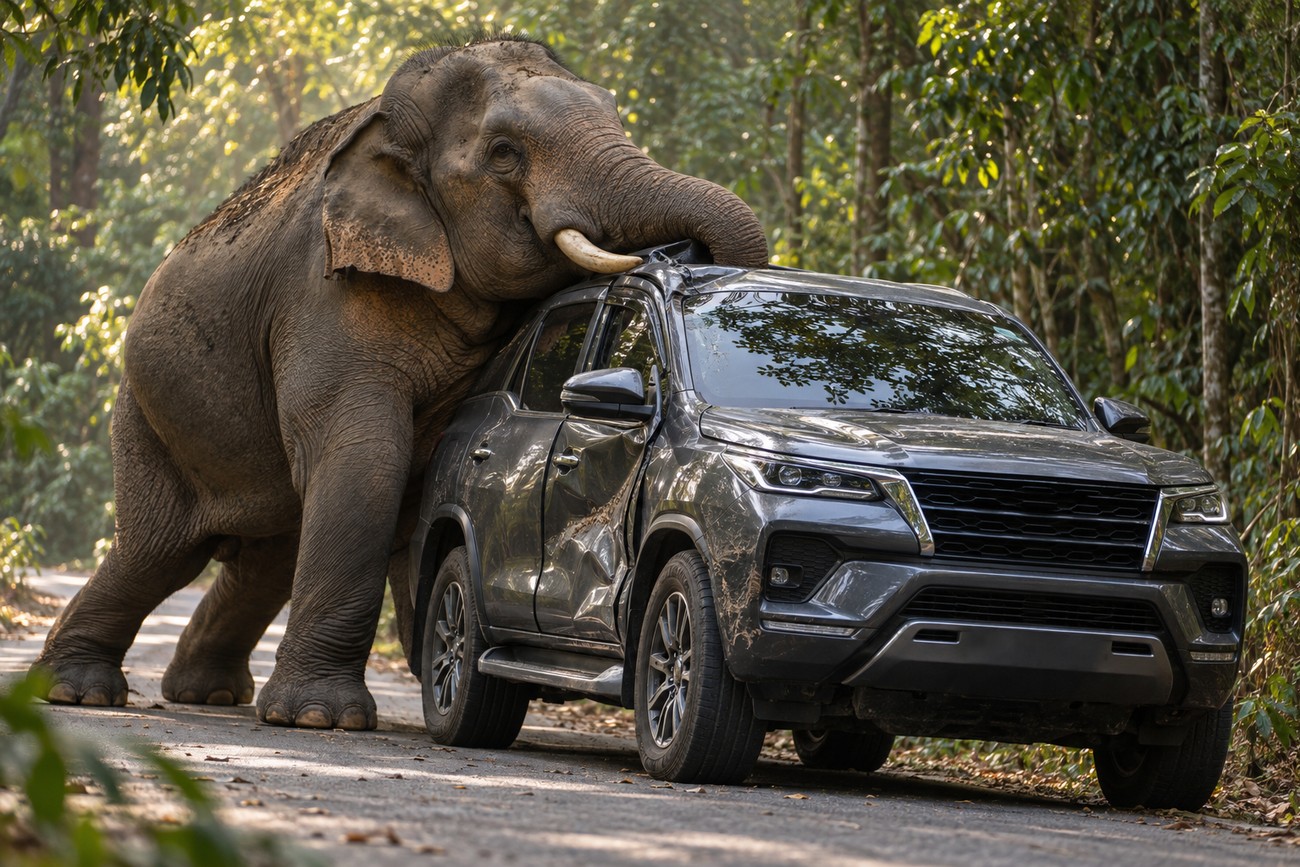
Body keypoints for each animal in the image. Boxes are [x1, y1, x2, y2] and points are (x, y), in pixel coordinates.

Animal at [33, 34, 768, 730]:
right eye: (504, 153)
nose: (677, 255)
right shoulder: (326, 290)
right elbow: (364, 460)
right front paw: (321, 717)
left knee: (262, 557)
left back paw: (206, 692)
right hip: (146, 410)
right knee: (161, 550)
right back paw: (77, 691)